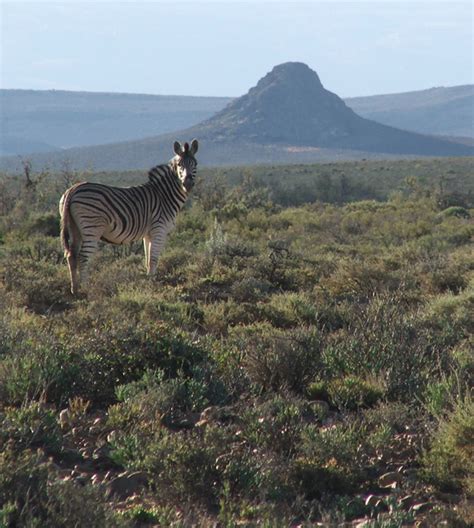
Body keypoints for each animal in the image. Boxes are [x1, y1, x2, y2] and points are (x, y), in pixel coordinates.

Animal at [59, 138, 198, 294]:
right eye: (180, 165)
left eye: (195, 164)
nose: (188, 183)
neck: (164, 195)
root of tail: (72, 189)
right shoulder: (159, 229)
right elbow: (154, 259)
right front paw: (153, 284)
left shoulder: (148, 234)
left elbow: (147, 258)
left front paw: (149, 280)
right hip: (91, 227)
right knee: (83, 257)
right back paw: (86, 288)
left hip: (75, 228)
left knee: (71, 255)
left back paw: (75, 289)